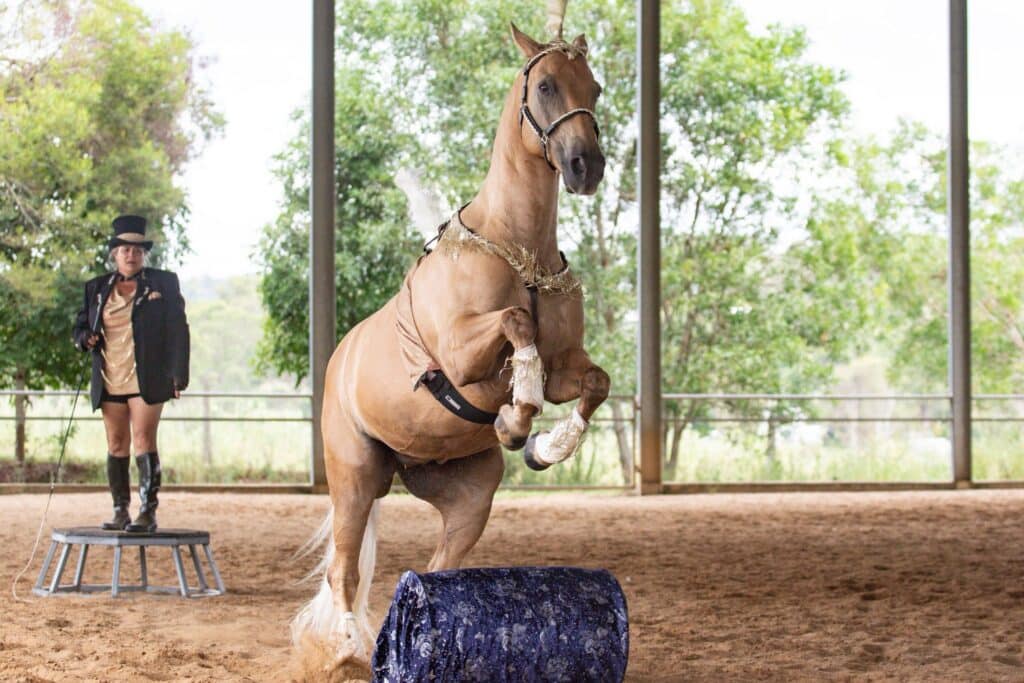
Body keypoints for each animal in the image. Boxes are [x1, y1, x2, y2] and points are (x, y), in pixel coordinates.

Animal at [292, 24, 609, 667]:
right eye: (545, 84)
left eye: (595, 87)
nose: (586, 166)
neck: (521, 252)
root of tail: (338, 363)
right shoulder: (463, 359)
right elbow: (516, 323)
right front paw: (516, 418)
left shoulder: (567, 365)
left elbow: (595, 382)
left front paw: (546, 446)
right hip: (354, 477)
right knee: (343, 571)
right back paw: (346, 648)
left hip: (466, 495)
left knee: (434, 568)